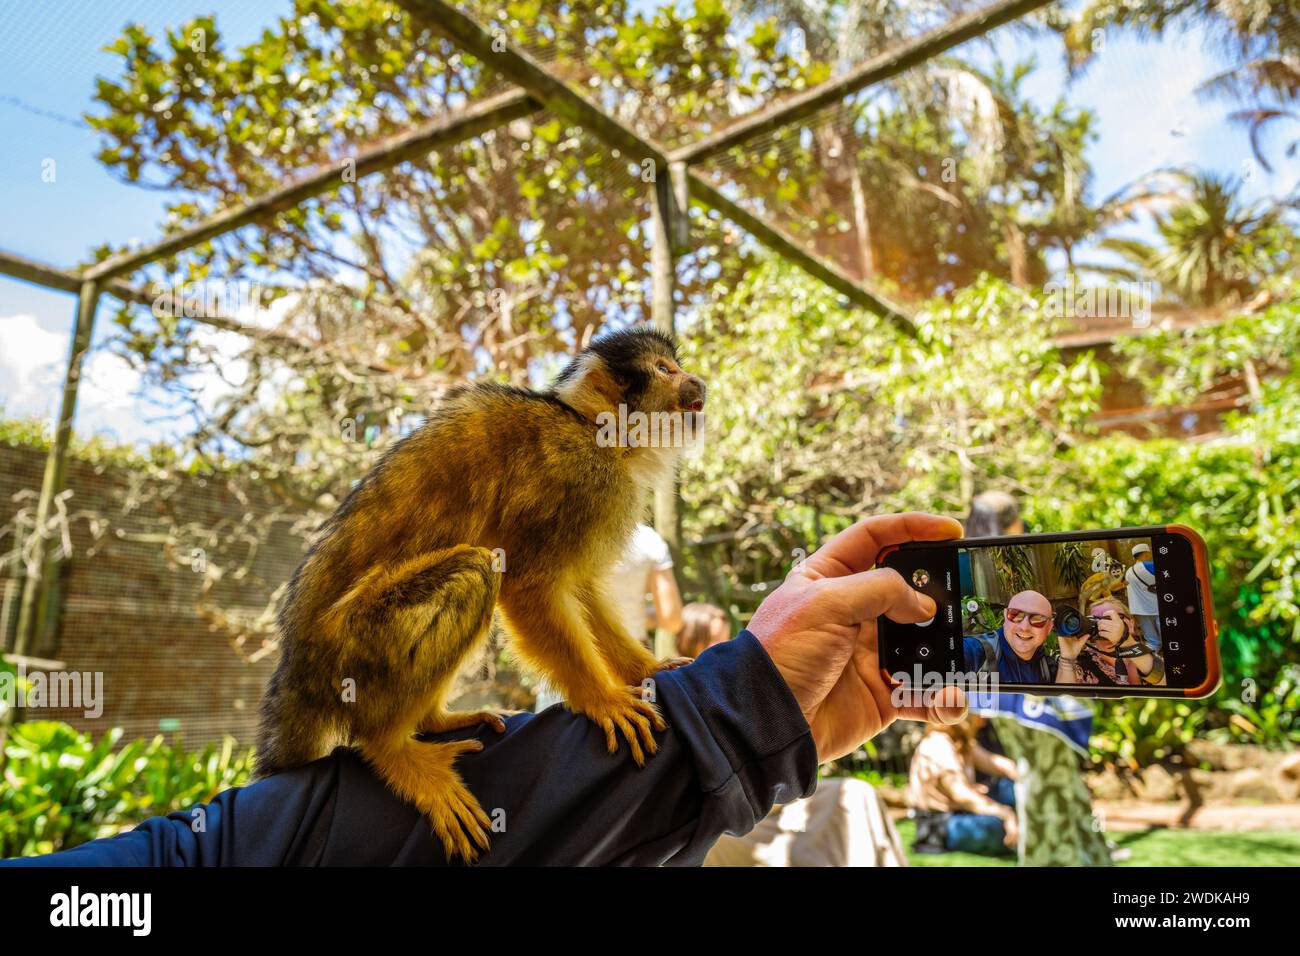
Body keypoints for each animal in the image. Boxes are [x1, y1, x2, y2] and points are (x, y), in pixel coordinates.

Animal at [250, 327, 702, 858]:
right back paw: (392, 749)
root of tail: (296, 672)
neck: (591, 429)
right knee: (475, 572)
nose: (695, 381)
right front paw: (602, 699)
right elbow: (529, 583)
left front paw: (645, 669)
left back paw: (431, 722)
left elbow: (582, 588)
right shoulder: (571, 476)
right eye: (665, 371)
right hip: (352, 653)